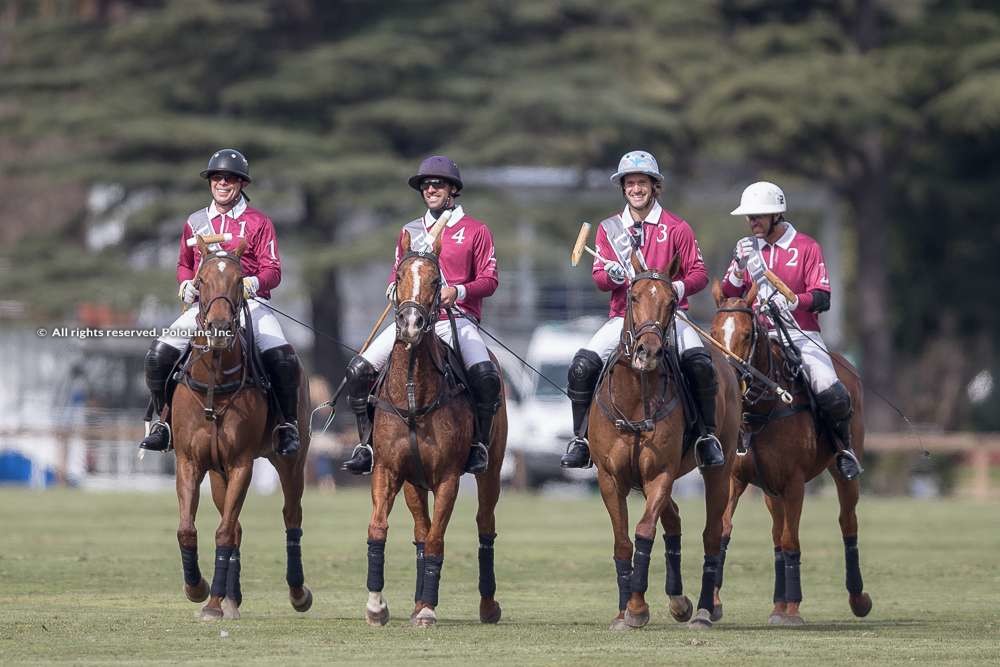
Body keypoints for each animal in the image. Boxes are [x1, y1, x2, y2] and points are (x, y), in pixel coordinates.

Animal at [172, 239, 310, 620]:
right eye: (200, 281)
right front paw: (198, 589)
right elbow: (188, 529)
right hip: (217, 471)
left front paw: (211, 603)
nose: (219, 330)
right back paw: (230, 599)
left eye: (238, 281)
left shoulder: (241, 463)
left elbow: (222, 532)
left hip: (291, 461)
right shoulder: (189, 461)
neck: (215, 384)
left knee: (291, 516)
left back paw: (298, 593)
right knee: (235, 525)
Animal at [362, 230, 508, 628]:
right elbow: (379, 529)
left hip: (492, 469)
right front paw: (377, 605)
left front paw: (427, 609)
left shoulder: (447, 477)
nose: (411, 324)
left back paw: (487, 606)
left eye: (435, 281)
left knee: (485, 524)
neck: (413, 393)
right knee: (420, 530)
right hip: (414, 481)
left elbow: (438, 539)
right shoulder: (387, 468)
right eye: (398, 276)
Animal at [588, 254, 740, 632]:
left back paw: (702, 611)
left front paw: (637, 608)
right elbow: (623, 541)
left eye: (672, 302)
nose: (649, 352)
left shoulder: (660, 472)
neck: (634, 398)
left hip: (720, 468)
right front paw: (623, 611)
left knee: (711, 533)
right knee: (674, 521)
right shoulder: (610, 478)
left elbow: (644, 530)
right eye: (632, 296)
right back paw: (678, 601)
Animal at [712, 280, 868, 628]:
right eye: (714, 332)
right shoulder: (734, 480)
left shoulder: (794, 484)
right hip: (771, 490)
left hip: (841, 471)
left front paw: (794, 608)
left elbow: (791, 541)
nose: (728, 379)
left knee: (847, 522)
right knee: (776, 533)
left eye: (747, 334)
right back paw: (777, 605)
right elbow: (725, 531)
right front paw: (712, 603)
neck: (760, 412)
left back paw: (858, 599)